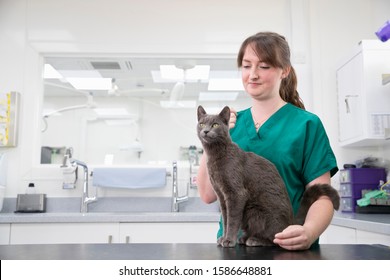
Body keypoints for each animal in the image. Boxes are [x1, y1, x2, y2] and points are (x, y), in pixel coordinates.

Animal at [197, 106, 340, 248]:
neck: (215, 156)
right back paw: (244, 238)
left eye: (215, 125)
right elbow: (226, 219)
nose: (205, 131)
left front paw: (228, 240)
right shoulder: (221, 195)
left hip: (256, 212)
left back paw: (255, 240)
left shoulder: (236, 194)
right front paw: (223, 238)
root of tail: (290, 223)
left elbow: (232, 220)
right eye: (202, 124)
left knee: (275, 238)